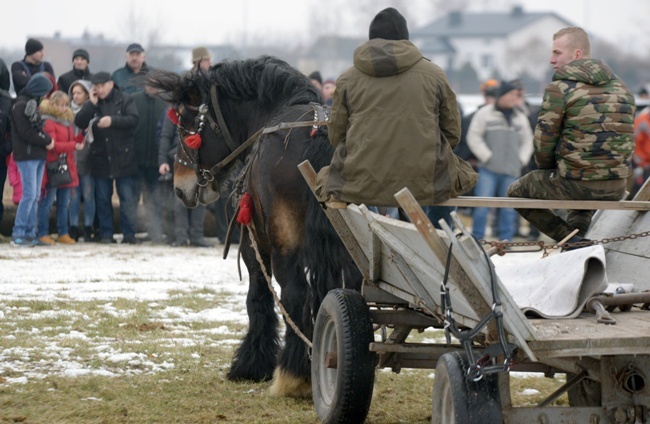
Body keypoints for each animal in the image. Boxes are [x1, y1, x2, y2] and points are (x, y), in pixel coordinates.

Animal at [144, 56, 362, 398]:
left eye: (186, 126)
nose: (179, 187)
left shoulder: (253, 244)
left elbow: (257, 298)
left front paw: (251, 364)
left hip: (284, 246)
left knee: (295, 294)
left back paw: (293, 375)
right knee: (348, 286)